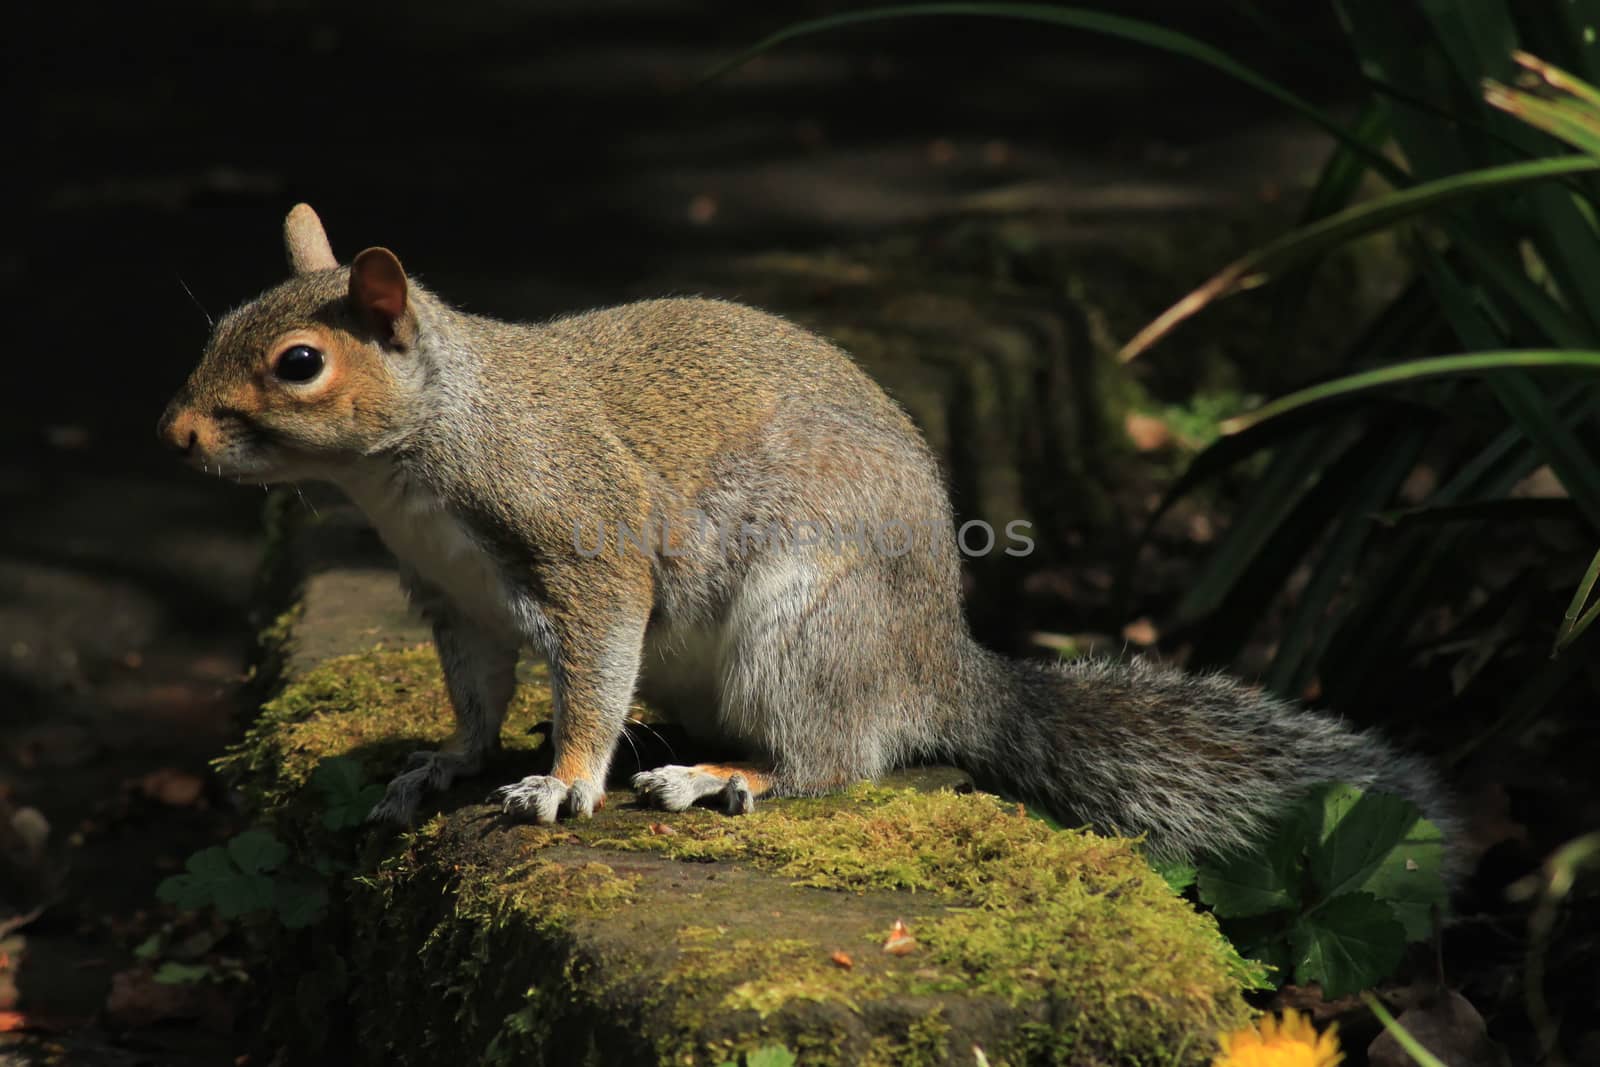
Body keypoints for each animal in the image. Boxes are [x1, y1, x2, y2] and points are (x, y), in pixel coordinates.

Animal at [156, 204, 1459, 863]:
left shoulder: (581, 544)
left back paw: (721, 776)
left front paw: (564, 780)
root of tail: (936, 668)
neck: (415, 460)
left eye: (299, 363)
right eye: (217, 326)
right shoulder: (456, 601)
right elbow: (475, 698)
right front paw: (445, 761)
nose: (173, 434)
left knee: (836, 760)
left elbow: (592, 671)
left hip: (804, 626)